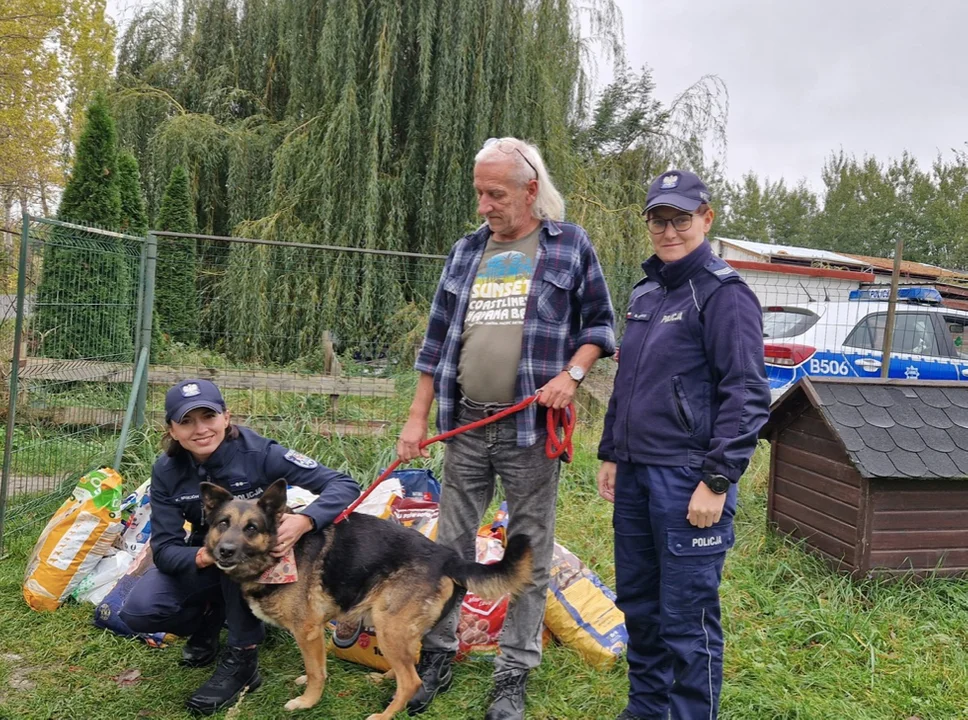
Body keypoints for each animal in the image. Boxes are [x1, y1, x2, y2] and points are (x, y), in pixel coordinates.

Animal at [199, 480, 532, 716]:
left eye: (251, 528)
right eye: (223, 523)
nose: (224, 551)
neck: (280, 553)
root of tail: (447, 557)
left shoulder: (307, 631)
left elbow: (316, 671)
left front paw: (307, 702)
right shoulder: (314, 634)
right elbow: (317, 666)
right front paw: (309, 686)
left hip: (389, 627)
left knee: (412, 681)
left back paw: (384, 715)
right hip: (394, 627)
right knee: (410, 664)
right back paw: (386, 679)